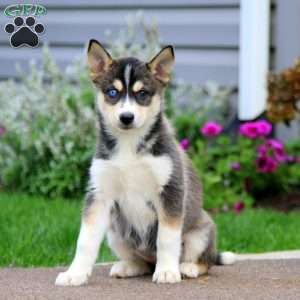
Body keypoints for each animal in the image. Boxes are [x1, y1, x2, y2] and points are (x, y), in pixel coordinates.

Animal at [55, 39, 234, 286]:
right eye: (112, 92)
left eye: (142, 94)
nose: (126, 117)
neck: (129, 145)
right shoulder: (100, 195)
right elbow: (85, 241)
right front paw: (75, 274)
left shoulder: (170, 191)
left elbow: (167, 239)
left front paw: (167, 271)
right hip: (115, 231)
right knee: (142, 263)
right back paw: (128, 266)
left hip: (202, 231)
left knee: (205, 261)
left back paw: (187, 267)